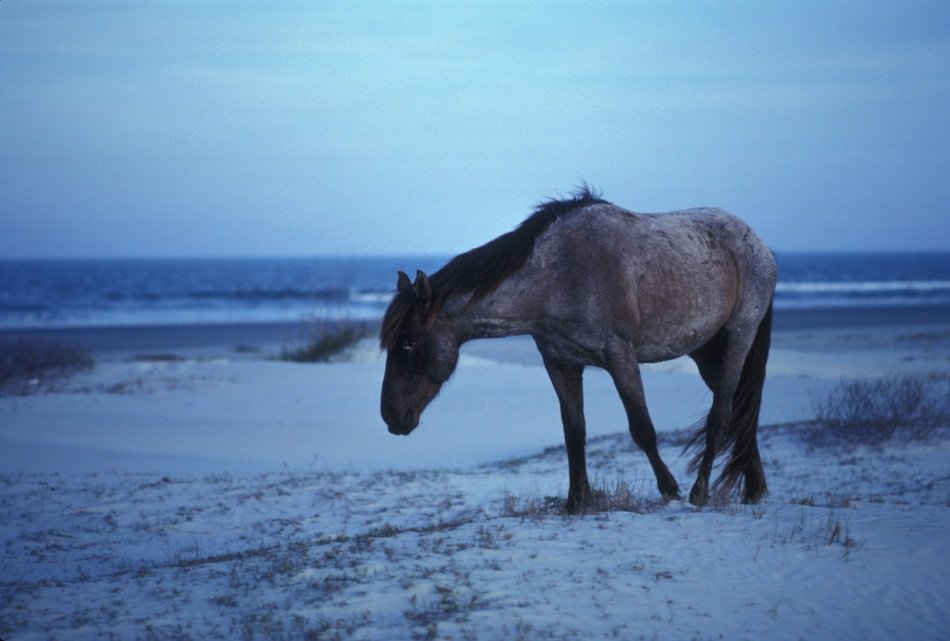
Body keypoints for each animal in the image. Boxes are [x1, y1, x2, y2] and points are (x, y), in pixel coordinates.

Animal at [380, 188, 776, 511]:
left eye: (408, 341)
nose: (391, 417)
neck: (556, 275)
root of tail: (760, 245)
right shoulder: (560, 363)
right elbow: (574, 430)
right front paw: (576, 501)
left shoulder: (619, 355)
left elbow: (642, 427)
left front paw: (669, 490)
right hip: (706, 351)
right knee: (740, 410)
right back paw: (754, 489)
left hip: (738, 335)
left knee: (723, 412)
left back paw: (700, 492)